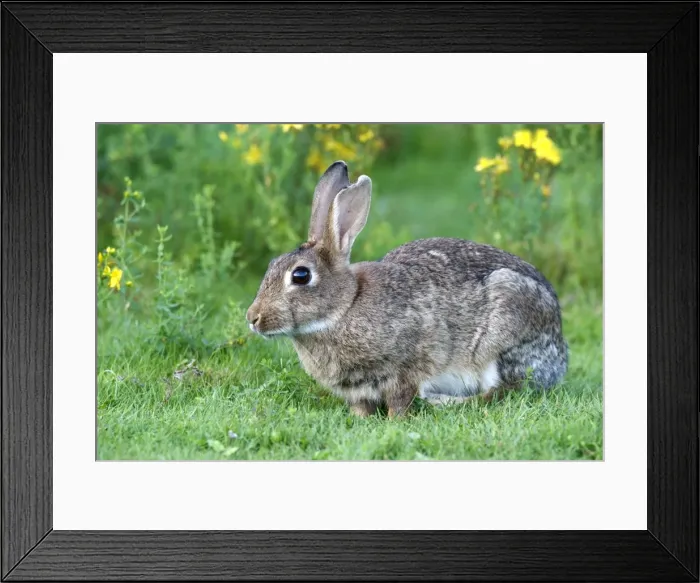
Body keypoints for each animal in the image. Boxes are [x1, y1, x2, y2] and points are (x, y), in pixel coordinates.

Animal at [246, 161, 568, 417]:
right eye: (272, 265)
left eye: (300, 275)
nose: (252, 318)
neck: (345, 306)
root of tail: (561, 356)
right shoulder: (358, 390)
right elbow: (362, 407)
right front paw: (360, 421)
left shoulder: (407, 369)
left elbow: (401, 400)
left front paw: (394, 421)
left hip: (503, 336)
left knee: (504, 391)